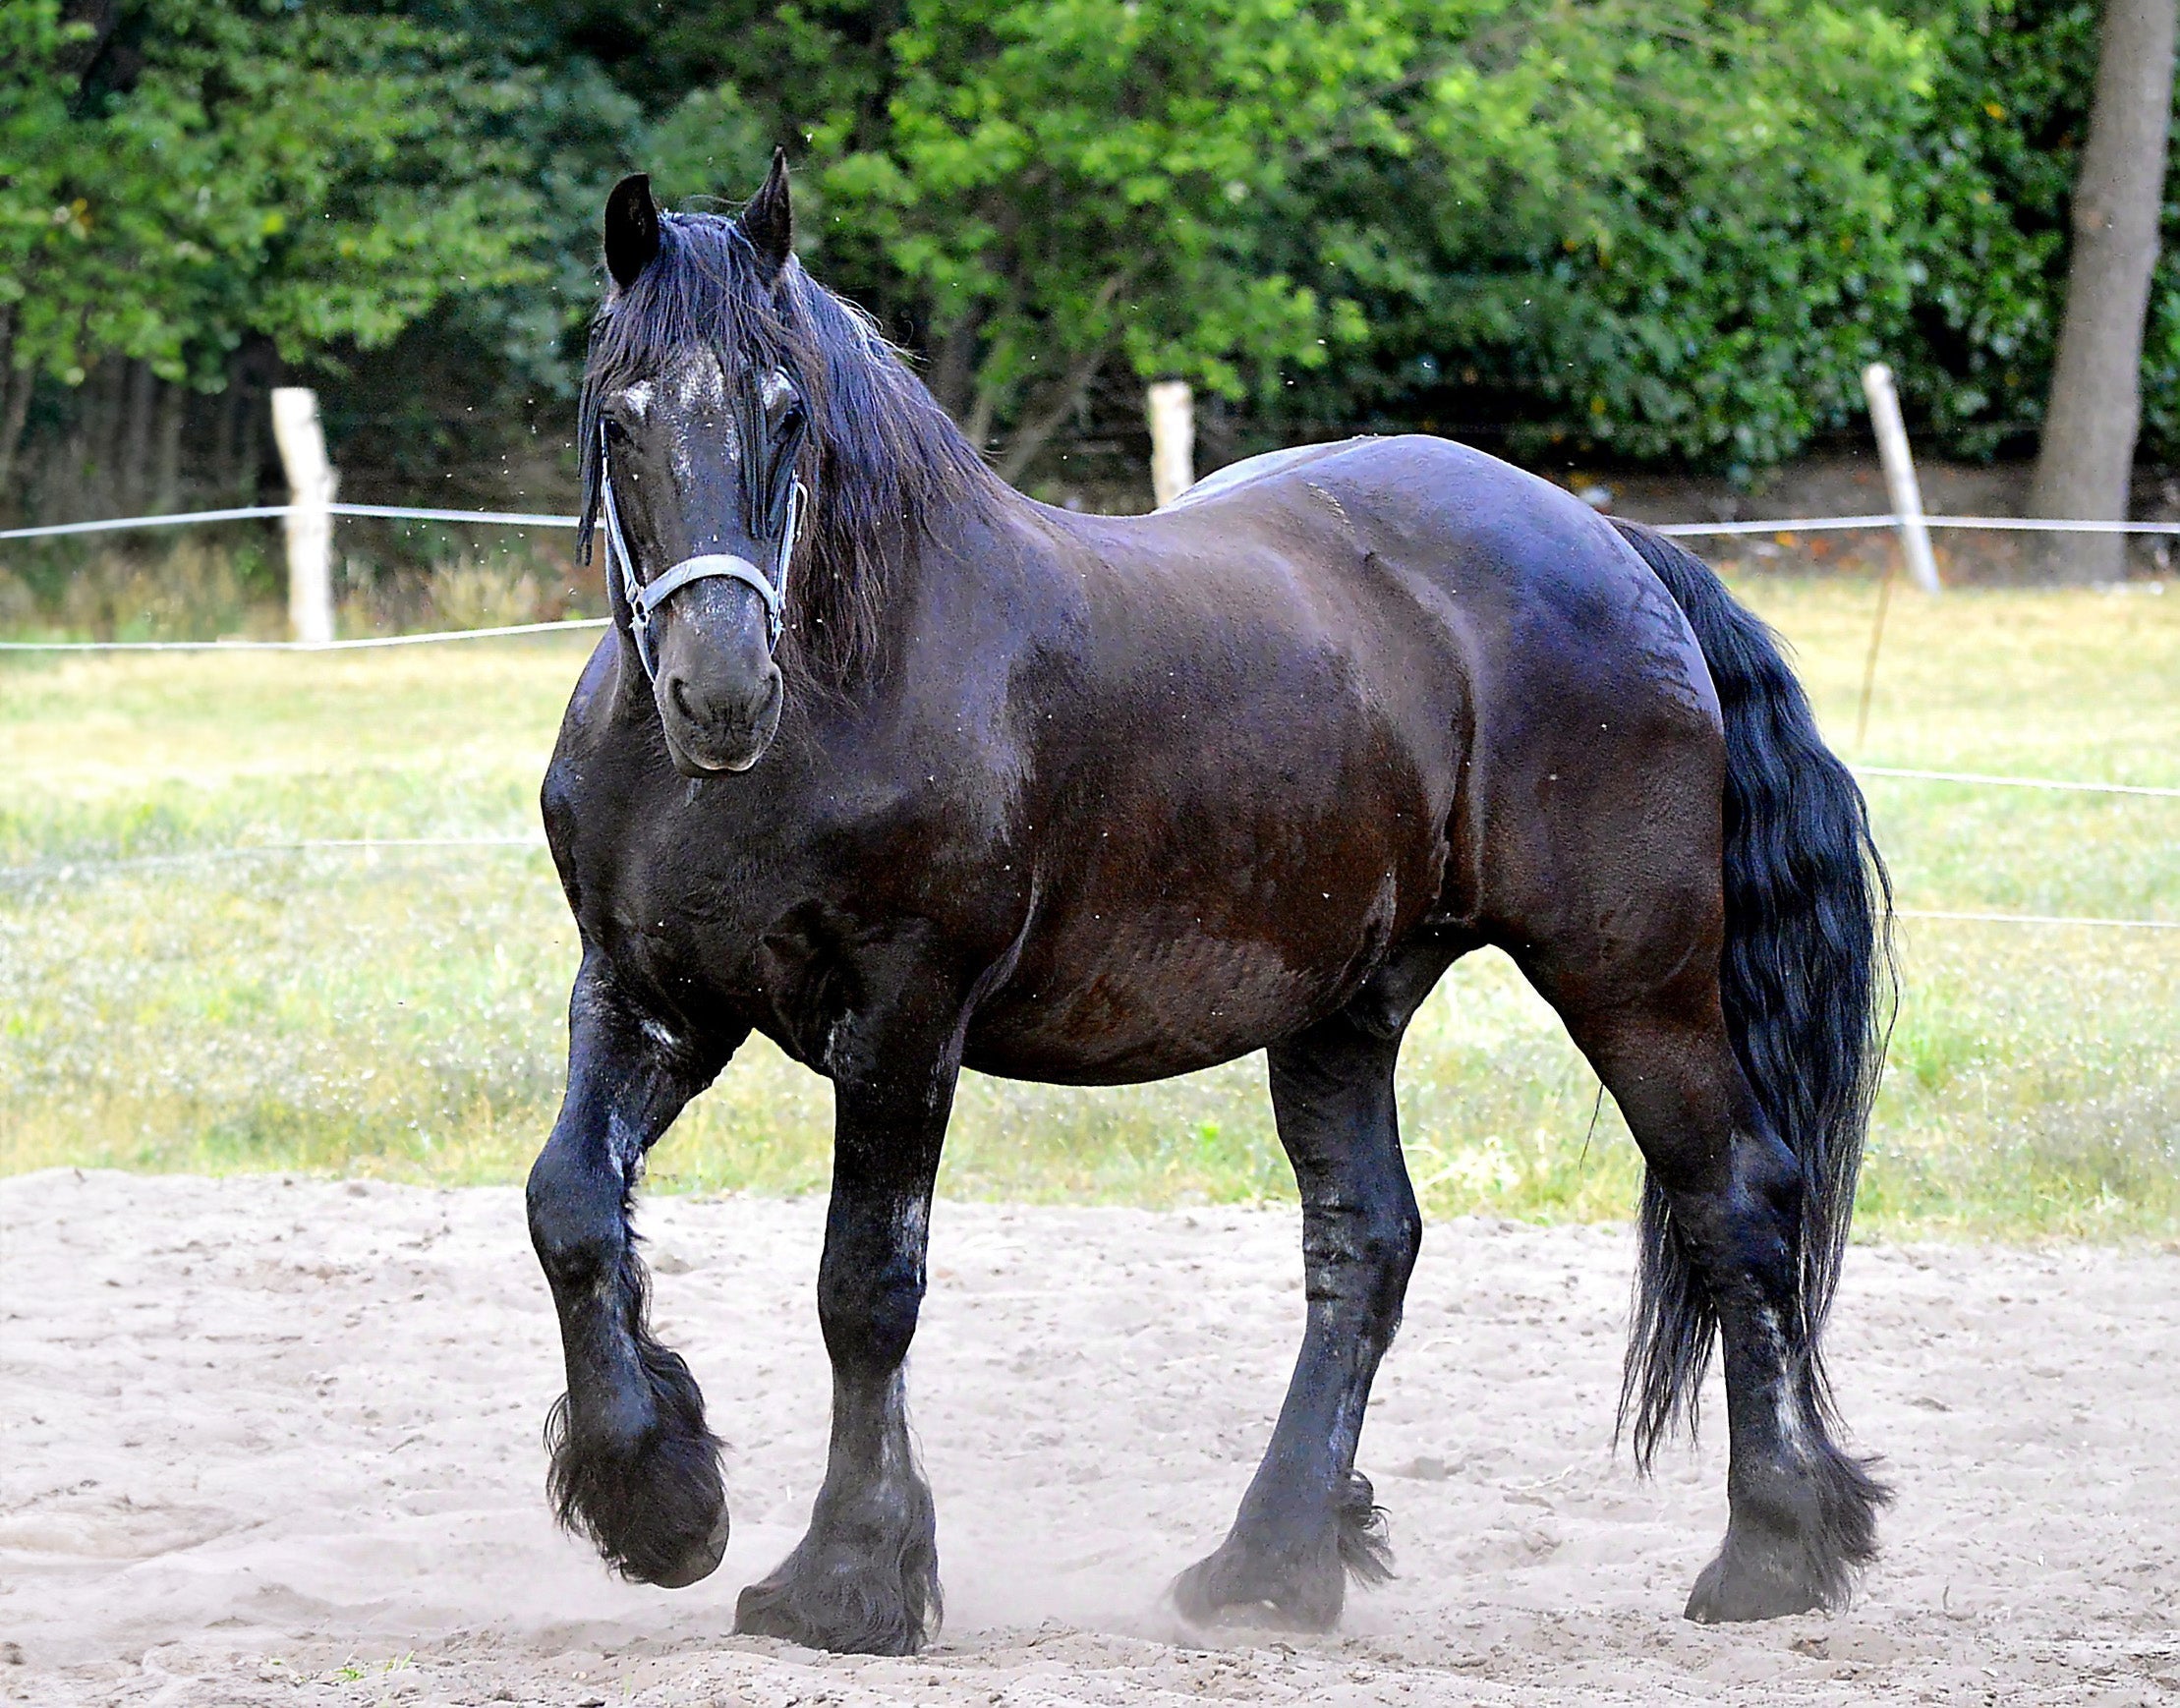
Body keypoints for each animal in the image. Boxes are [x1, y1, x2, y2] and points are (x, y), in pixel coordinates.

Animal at [524, 154, 1894, 1657]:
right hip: (1349, 1000)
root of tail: (1610, 540)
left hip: (1632, 978)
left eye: (787, 411)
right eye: (619, 413)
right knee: (1365, 1244)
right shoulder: (650, 997)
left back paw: (1769, 1552)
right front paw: (657, 1504)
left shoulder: (901, 1021)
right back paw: (1269, 1561)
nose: (720, 689)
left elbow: (864, 1287)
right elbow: (569, 1204)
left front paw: (846, 1578)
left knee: (1736, 1201)